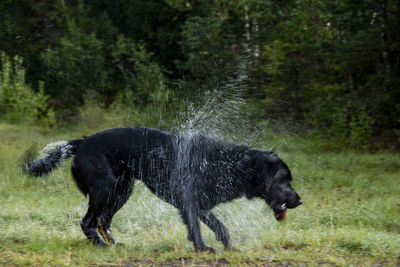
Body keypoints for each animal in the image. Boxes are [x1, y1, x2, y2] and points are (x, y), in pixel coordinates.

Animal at [25, 127, 302, 253]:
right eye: (284, 180)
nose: (299, 200)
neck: (231, 165)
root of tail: (81, 143)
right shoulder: (188, 201)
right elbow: (197, 228)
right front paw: (203, 250)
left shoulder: (200, 204)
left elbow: (219, 226)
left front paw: (228, 246)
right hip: (106, 189)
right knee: (88, 221)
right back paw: (101, 246)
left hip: (122, 190)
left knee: (103, 220)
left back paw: (116, 245)